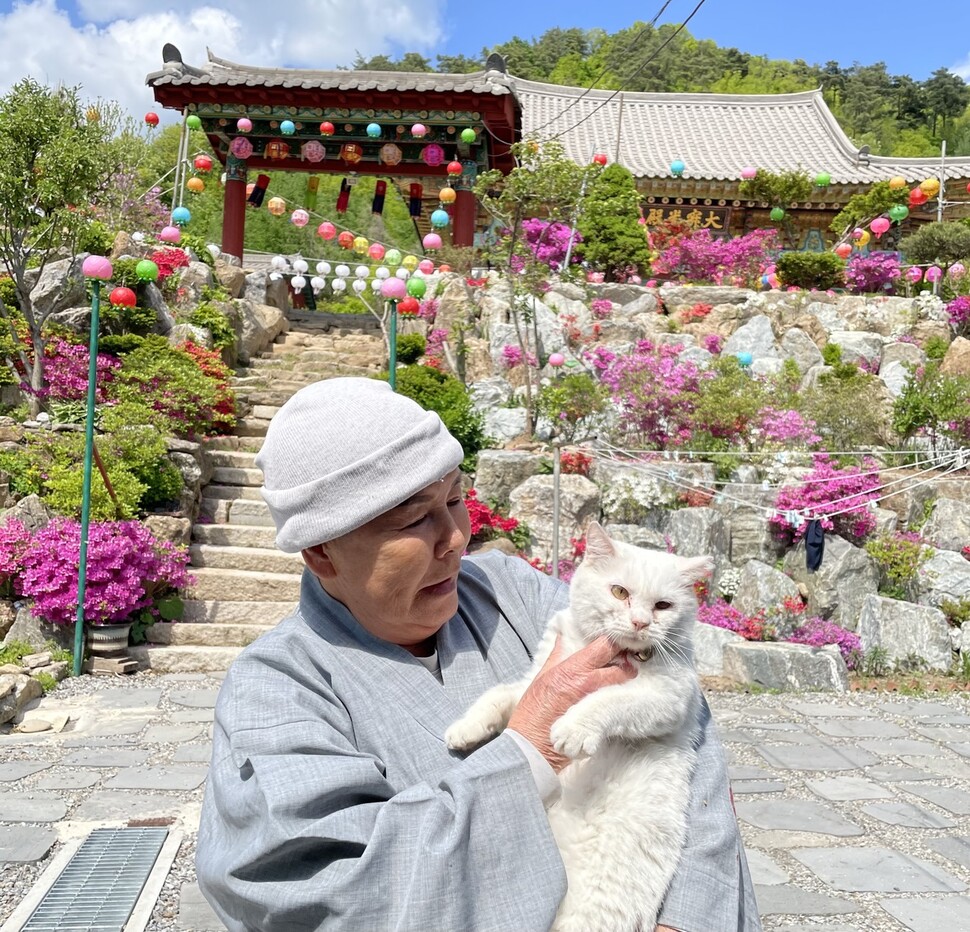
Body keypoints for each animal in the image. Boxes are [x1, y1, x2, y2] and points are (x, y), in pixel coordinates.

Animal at [442, 524, 708, 932]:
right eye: (620, 592)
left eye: (663, 606)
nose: (641, 623)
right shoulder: (530, 686)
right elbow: (498, 696)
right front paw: (465, 729)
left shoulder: (667, 698)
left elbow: (608, 700)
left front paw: (573, 730)